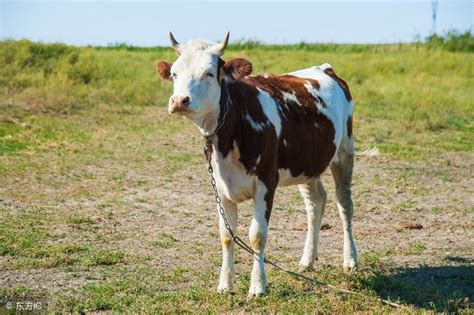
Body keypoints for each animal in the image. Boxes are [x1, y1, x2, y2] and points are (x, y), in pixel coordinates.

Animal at [157, 32, 358, 298]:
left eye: (209, 72)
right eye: (175, 73)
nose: (179, 100)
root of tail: (325, 68)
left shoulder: (266, 183)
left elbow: (257, 236)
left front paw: (258, 286)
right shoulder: (220, 187)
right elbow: (226, 235)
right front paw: (225, 284)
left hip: (345, 151)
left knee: (344, 204)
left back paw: (350, 260)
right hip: (307, 163)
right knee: (316, 203)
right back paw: (308, 259)